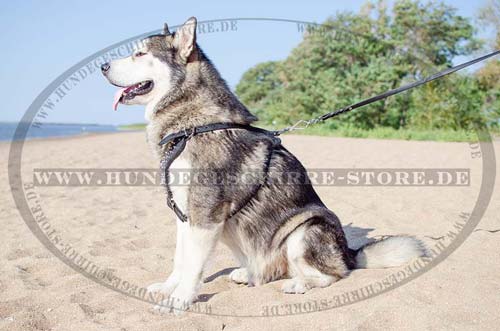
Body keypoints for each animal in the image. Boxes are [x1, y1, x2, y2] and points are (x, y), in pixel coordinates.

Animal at [100, 16, 426, 316]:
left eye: (140, 54)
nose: (103, 66)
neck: (194, 126)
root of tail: (348, 252)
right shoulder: (185, 212)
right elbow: (180, 260)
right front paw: (169, 288)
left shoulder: (205, 215)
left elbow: (192, 267)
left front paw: (179, 301)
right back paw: (248, 273)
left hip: (305, 229)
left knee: (333, 274)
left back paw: (300, 284)